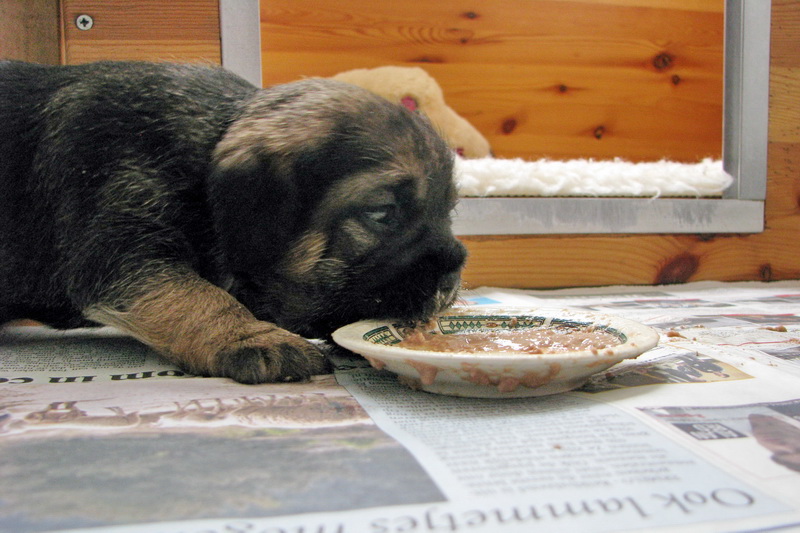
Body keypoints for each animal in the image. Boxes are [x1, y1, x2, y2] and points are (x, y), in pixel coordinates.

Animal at [0, 60, 467, 384]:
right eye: (382, 213)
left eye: (448, 211)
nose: (454, 271)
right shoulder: (119, 246)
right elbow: (193, 295)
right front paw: (251, 336)